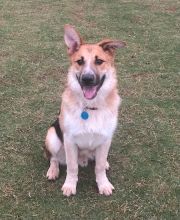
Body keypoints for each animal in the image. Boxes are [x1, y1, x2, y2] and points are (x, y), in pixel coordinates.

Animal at [44, 24, 126, 197]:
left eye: (99, 61)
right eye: (79, 62)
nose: (87, 79)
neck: (91, 107)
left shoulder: (106, 138)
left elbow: (99, 166)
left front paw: (103, 183)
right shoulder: (69, 140)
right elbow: (72, 166)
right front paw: (70, 185)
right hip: (52, 136)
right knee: (54, 158)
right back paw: (53, 170)